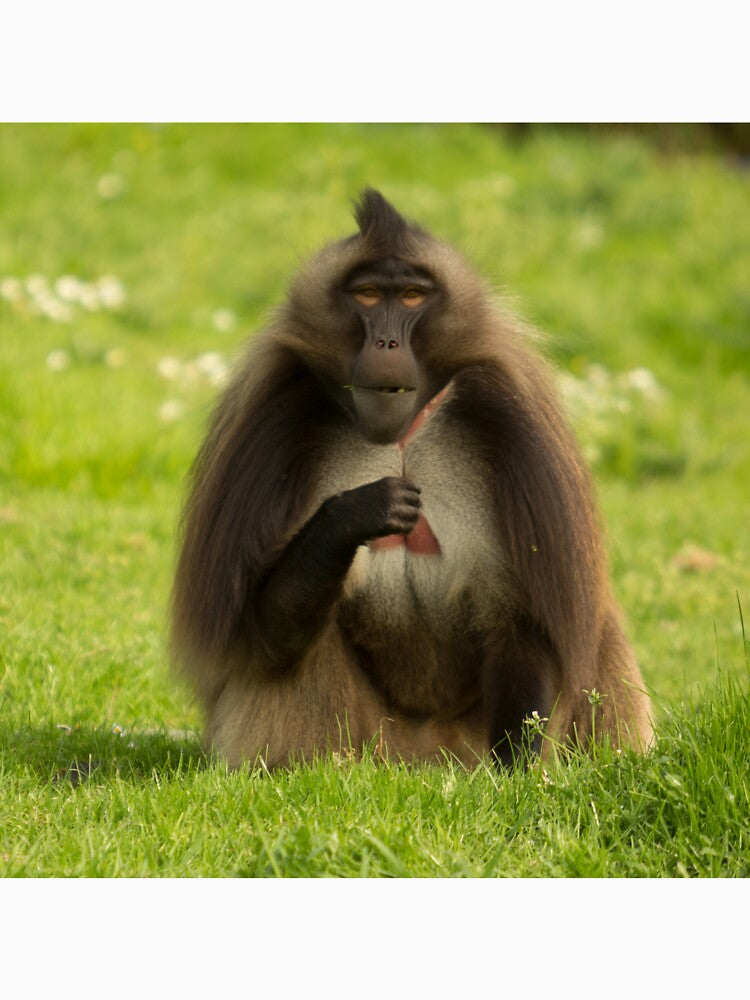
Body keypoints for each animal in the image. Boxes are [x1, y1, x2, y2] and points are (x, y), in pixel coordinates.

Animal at [170, 188, 653, 769]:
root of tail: (423, 759)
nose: (386, 345)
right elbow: (258, 634)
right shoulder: (273, 421)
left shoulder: (514, 425)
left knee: (598, 629)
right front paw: (353, 516)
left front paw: (517, 769)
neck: (399, 441)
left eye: (412, 297)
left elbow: (525, 619)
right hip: (373, 740)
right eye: (368, 295)